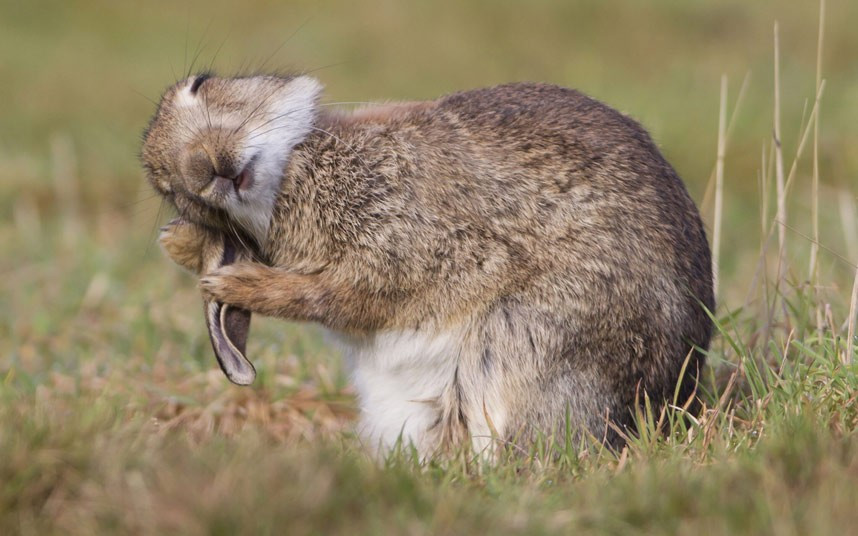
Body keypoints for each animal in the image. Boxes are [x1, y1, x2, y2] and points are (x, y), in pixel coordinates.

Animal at [143, 73, 714, 457]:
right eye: (167, 188)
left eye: (202, 83)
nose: (200, 168)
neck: (291, 176)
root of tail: (669, 396)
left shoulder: (417, 249)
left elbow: (340, 297)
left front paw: (232, 283)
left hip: (528, 344)